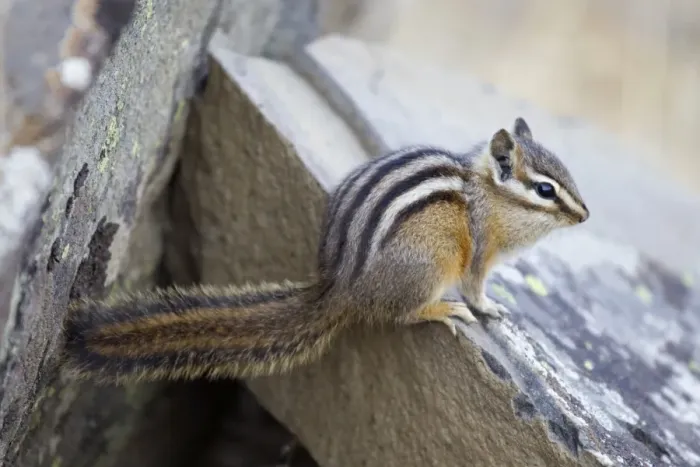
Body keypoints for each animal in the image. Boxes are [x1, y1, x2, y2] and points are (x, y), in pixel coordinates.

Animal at [61, 118, 589, 385]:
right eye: (545, 190)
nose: (585, 216)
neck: (492, 197)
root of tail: (343, 288)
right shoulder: (478, 246)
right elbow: (477, 284)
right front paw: (490, 307)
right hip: (429, 263)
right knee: (403, 314)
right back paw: (442, 308)